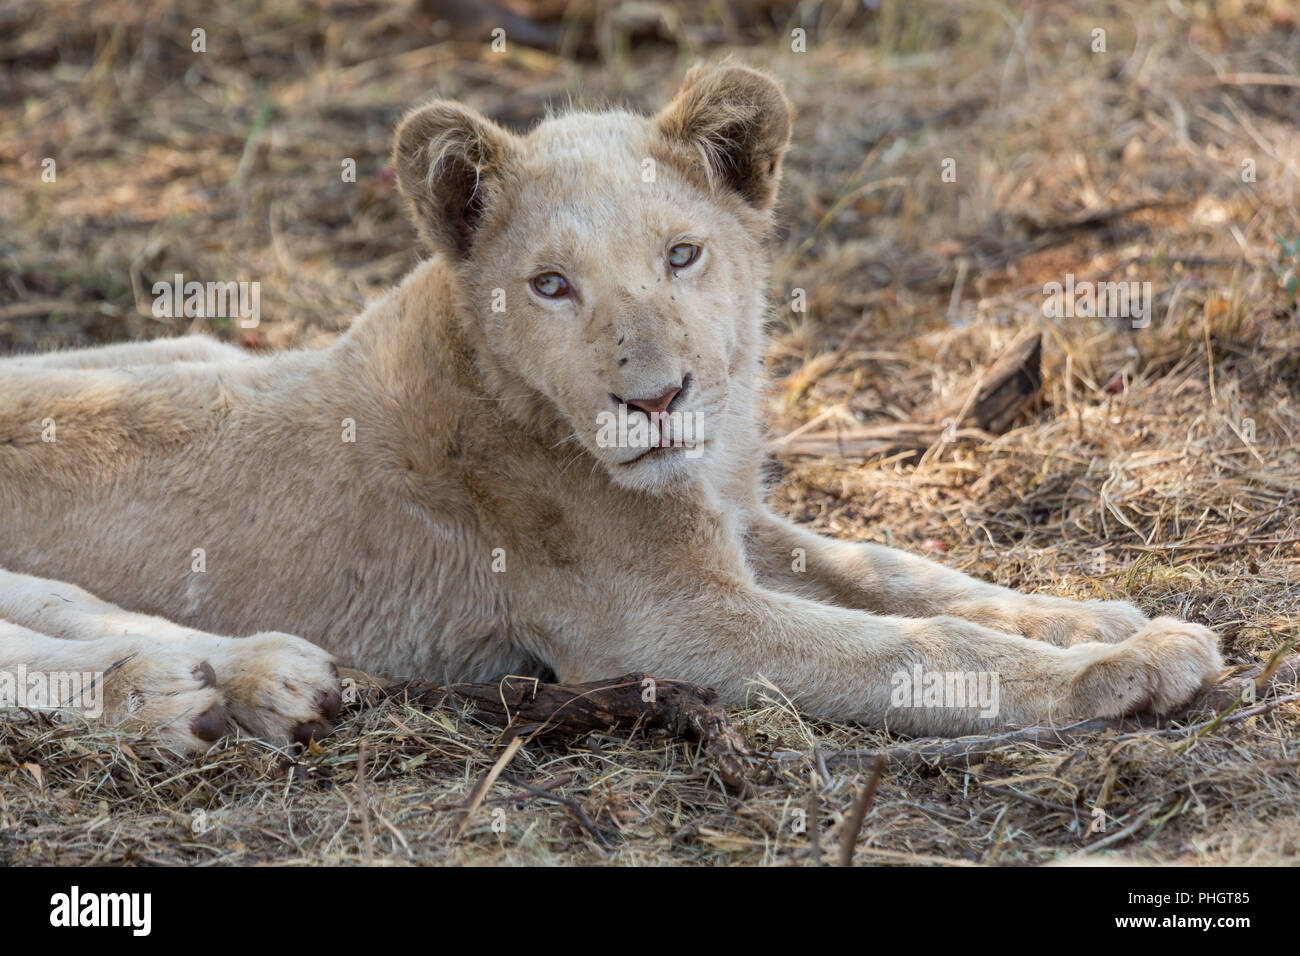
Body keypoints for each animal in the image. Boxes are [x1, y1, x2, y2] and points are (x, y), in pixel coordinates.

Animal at [0, 64, 1222, 752]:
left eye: (682, 255)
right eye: (551, 285)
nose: (656, 398)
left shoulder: (735, 529)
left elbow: (901, 573)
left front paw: (1097, 617)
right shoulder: (665, 622)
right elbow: (916, 643)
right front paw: (1123, 669)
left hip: (178, 345)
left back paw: (260, 677)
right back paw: (183, 693)